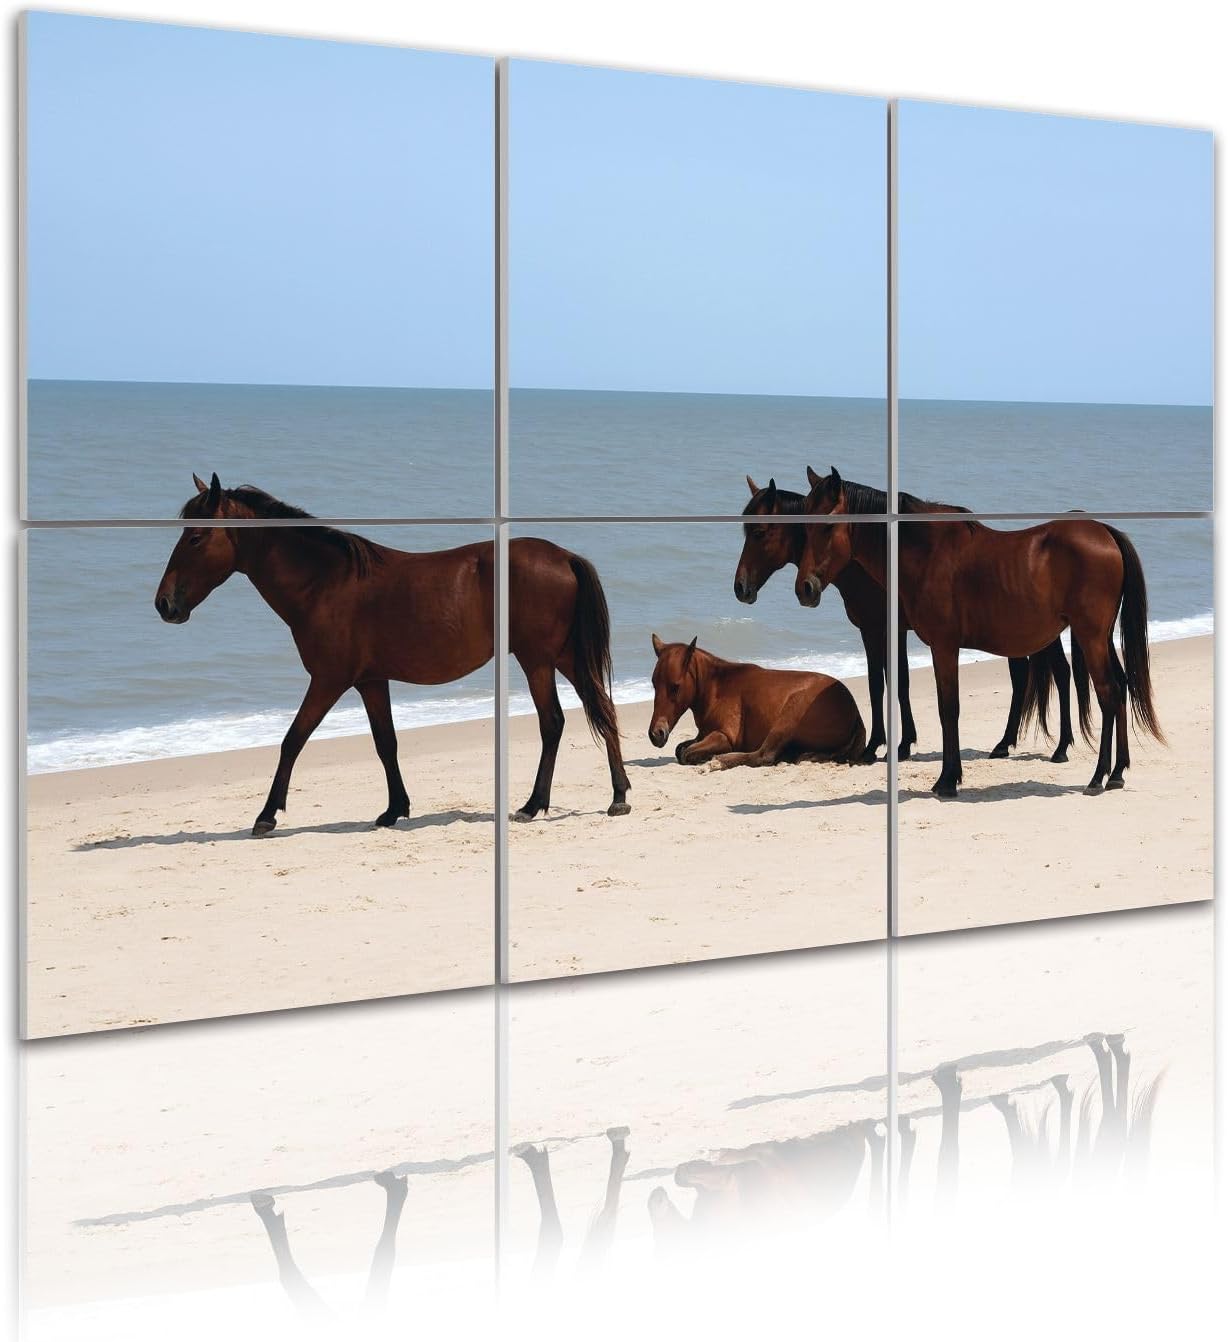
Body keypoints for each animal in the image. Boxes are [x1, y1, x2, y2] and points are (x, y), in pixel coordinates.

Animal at [154, 473, 630, 834]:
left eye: (195, 537)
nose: (164, 604)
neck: (326, 581)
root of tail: (564, 556)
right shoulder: (370, 681)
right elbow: (386, 743)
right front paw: (393, 809)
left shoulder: (328, 680)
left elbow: (293, 740)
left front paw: (267, 815)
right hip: (563, 658)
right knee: (603, 710)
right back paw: (618, 795)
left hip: (537, 661)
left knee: (554, 723)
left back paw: (534, 804)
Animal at [647, 634, 866, 769]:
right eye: (653, 683)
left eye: (675, 686)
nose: (656, 734)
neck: (716, 687)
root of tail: (854, 712)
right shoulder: (703, 734)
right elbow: (681, 749)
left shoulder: (723, 736)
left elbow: (686, 754)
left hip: (790, 715)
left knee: (763, 755)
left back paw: (720, 761)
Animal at [735, 474, 1075, 764]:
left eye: (759, 532)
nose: (740, 588)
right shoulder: (891, 631)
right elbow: (896, 683)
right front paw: (901, 743)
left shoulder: (879, 629)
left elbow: (882, 684)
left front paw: (881, 746)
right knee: (1027, 677)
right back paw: (1006, 744)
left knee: (1058, 672)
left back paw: (1059, 748)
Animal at [794, 467, 1163, 797]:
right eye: (804, 527)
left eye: (826, 526)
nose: (805, 589)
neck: (927, 552)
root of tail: (1105, 532)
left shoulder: (943, 646)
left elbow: (949, 708)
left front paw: (947, 781)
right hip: (1102, 637)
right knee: (1121, 687)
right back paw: (1117, 772)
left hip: (1090, 636)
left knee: (1108, 692)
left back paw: (1098, 777)